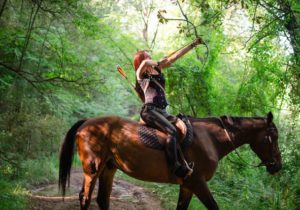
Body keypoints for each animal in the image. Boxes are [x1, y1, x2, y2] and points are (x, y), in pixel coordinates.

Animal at [58, 111, 282, 210]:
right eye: (273, 136)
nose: (277, 166)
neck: (210, 139)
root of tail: (87, 122)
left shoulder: (188, 186)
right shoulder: (197, 183)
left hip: (108, 169)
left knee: (102, 199)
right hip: (92, 169)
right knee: (85, 197)